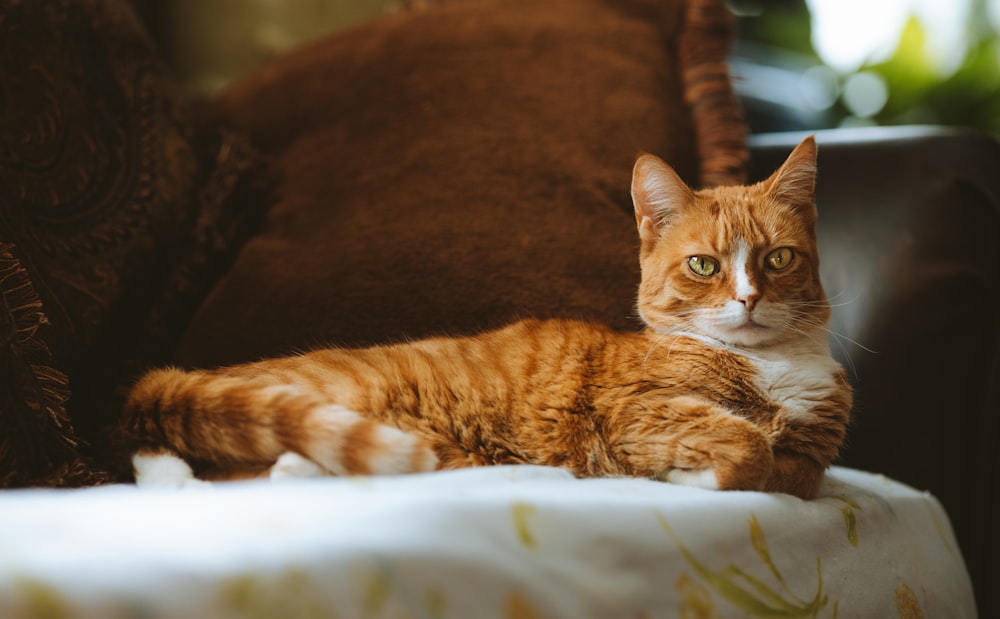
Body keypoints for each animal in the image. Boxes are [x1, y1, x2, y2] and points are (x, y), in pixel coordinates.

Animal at [119, 138, 852, 502]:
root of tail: (179, 377)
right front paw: (691, 473)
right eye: (703, 265)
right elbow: (747, 447)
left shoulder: (813, 458)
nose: (748, 299)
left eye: (778, 258)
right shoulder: (632, 410)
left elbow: (784, 470)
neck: (770, 367)